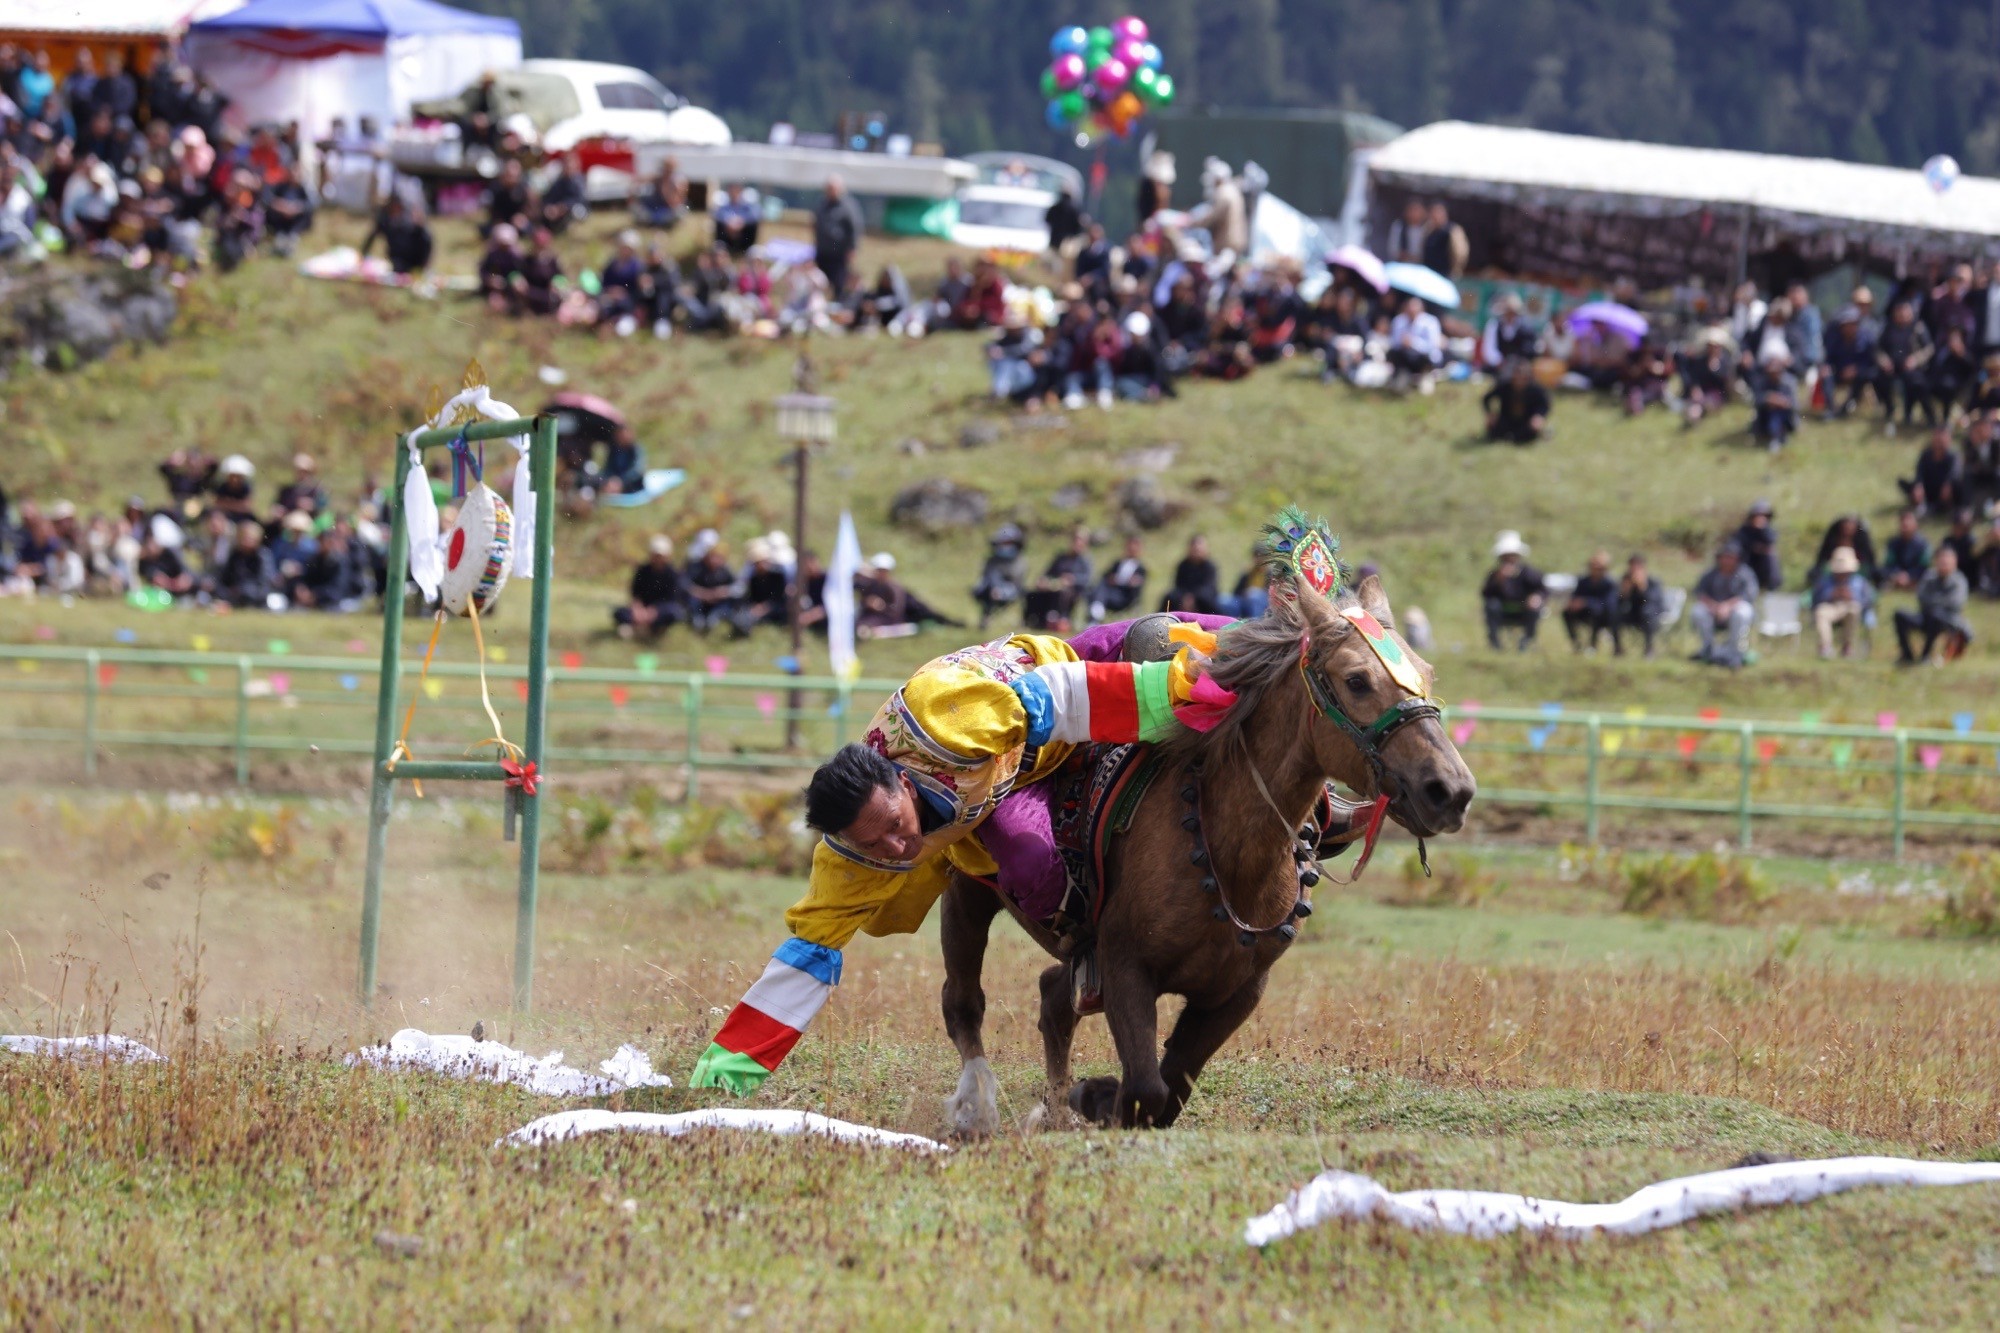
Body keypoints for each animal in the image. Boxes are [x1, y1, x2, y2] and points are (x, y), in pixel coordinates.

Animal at [932, 572, 1472, 1128]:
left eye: (1427, 676)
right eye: (1357, 681)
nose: (1449, 791)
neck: (1233, 860)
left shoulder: (1237, 994)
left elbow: (1165, 1095)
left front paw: (1093, 1098)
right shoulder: (1125, 968)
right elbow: (1146, 1089)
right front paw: (1096, 1096)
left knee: (1053, 999)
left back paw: (1055, 1111)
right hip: (969, 895)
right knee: (964, 1003)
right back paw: (978, 1106)